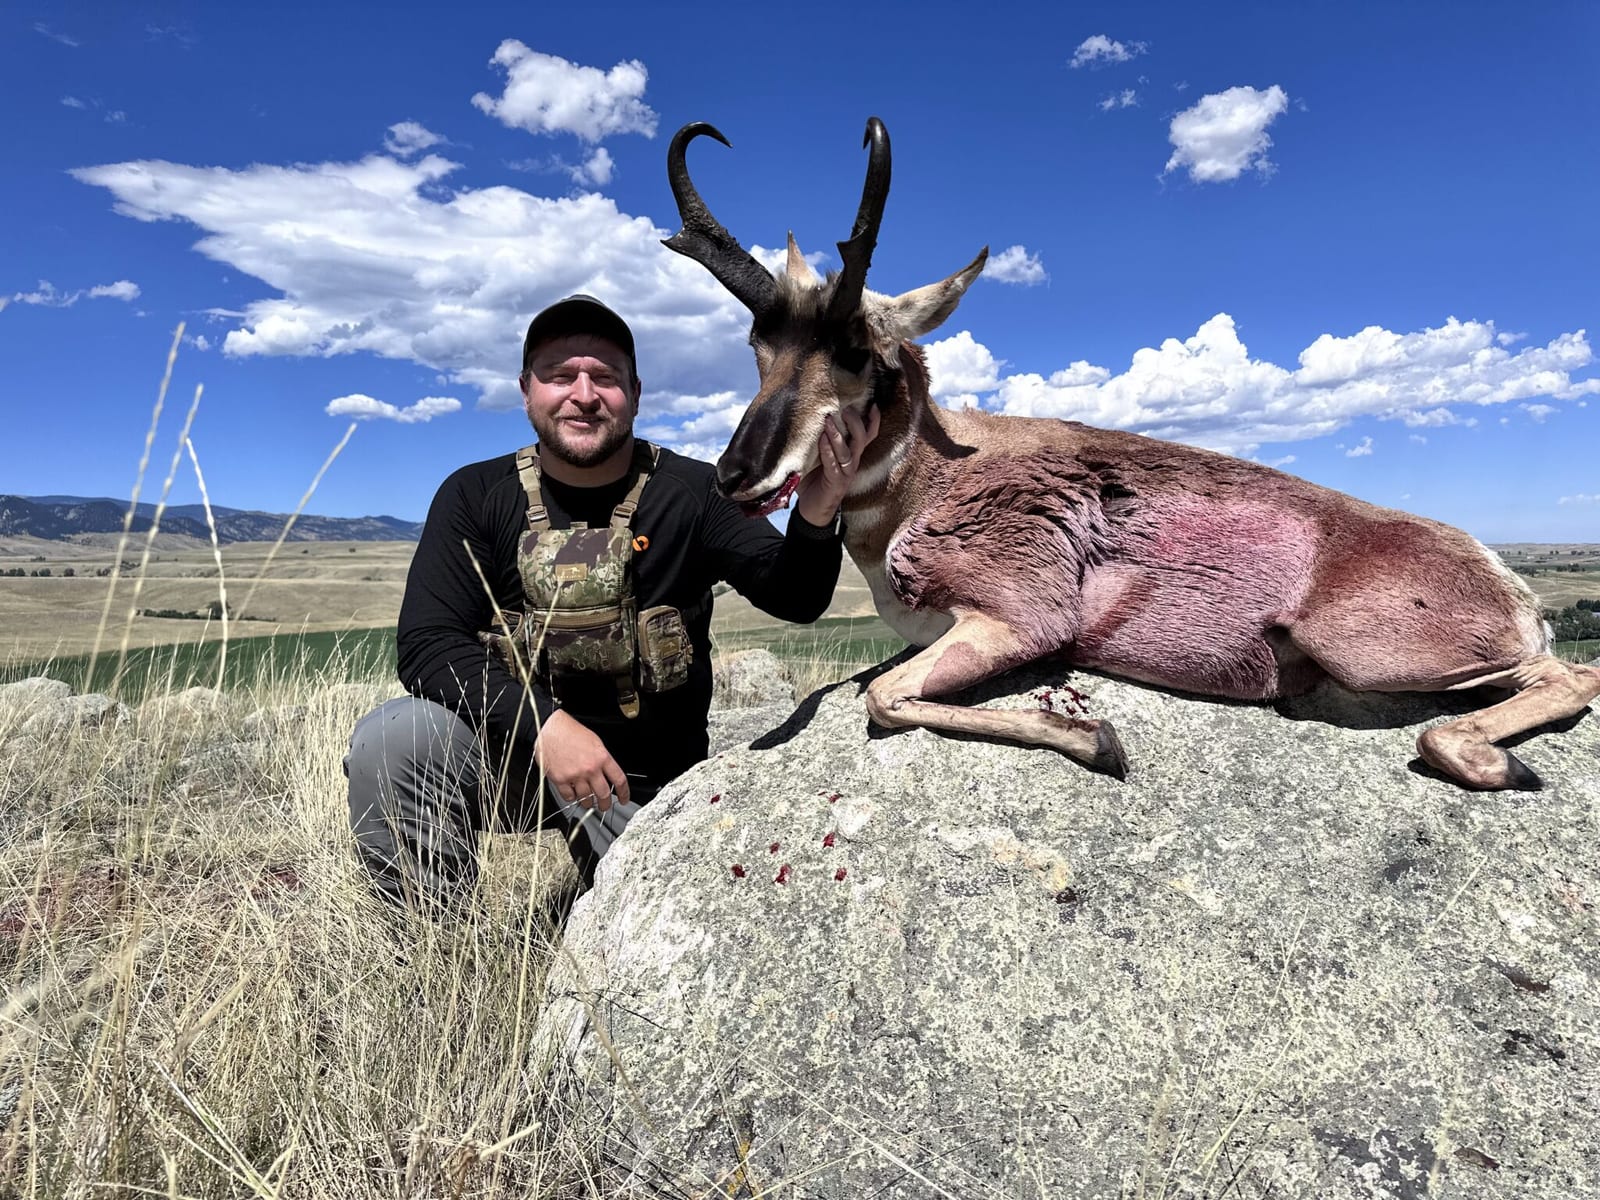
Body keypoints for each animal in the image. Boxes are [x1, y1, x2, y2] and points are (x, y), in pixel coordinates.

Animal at [662, 116, 1600, 792]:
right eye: (757, 344)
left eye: (858, 351)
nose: (735, 475)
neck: (936, 475)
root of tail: (1498, 571)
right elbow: (886, 693)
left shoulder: (1017, 623)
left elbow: (886, 698)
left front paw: (1097, 738)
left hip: (1371, 649)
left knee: (1559, 681)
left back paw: (1498, 761)